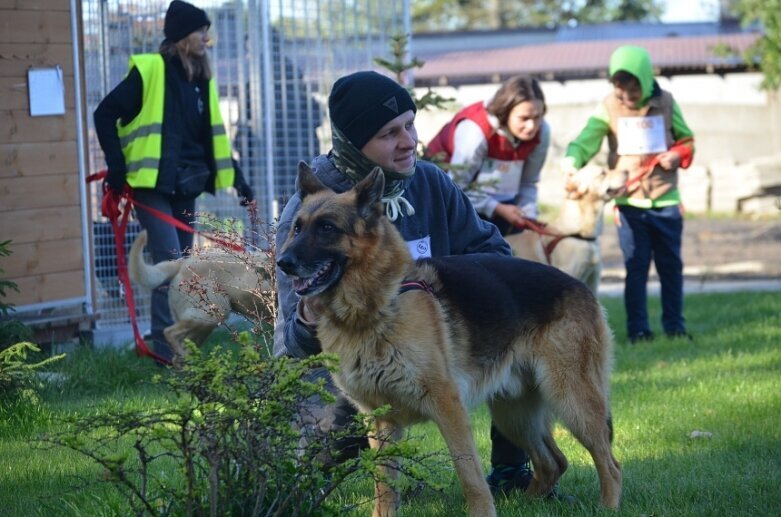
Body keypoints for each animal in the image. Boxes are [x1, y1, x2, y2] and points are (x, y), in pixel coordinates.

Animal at [278, 162, 620, 516]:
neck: (374, 307)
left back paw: (607, 507)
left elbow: (468, 472)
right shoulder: (381, 421)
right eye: (296, 228)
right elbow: (384, 486)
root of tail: (583, 288)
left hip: (571, 399)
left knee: (610, 464)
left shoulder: (448, 407)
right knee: (554, 462)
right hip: (514, 415)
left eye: (327, 228)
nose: (283, 262)